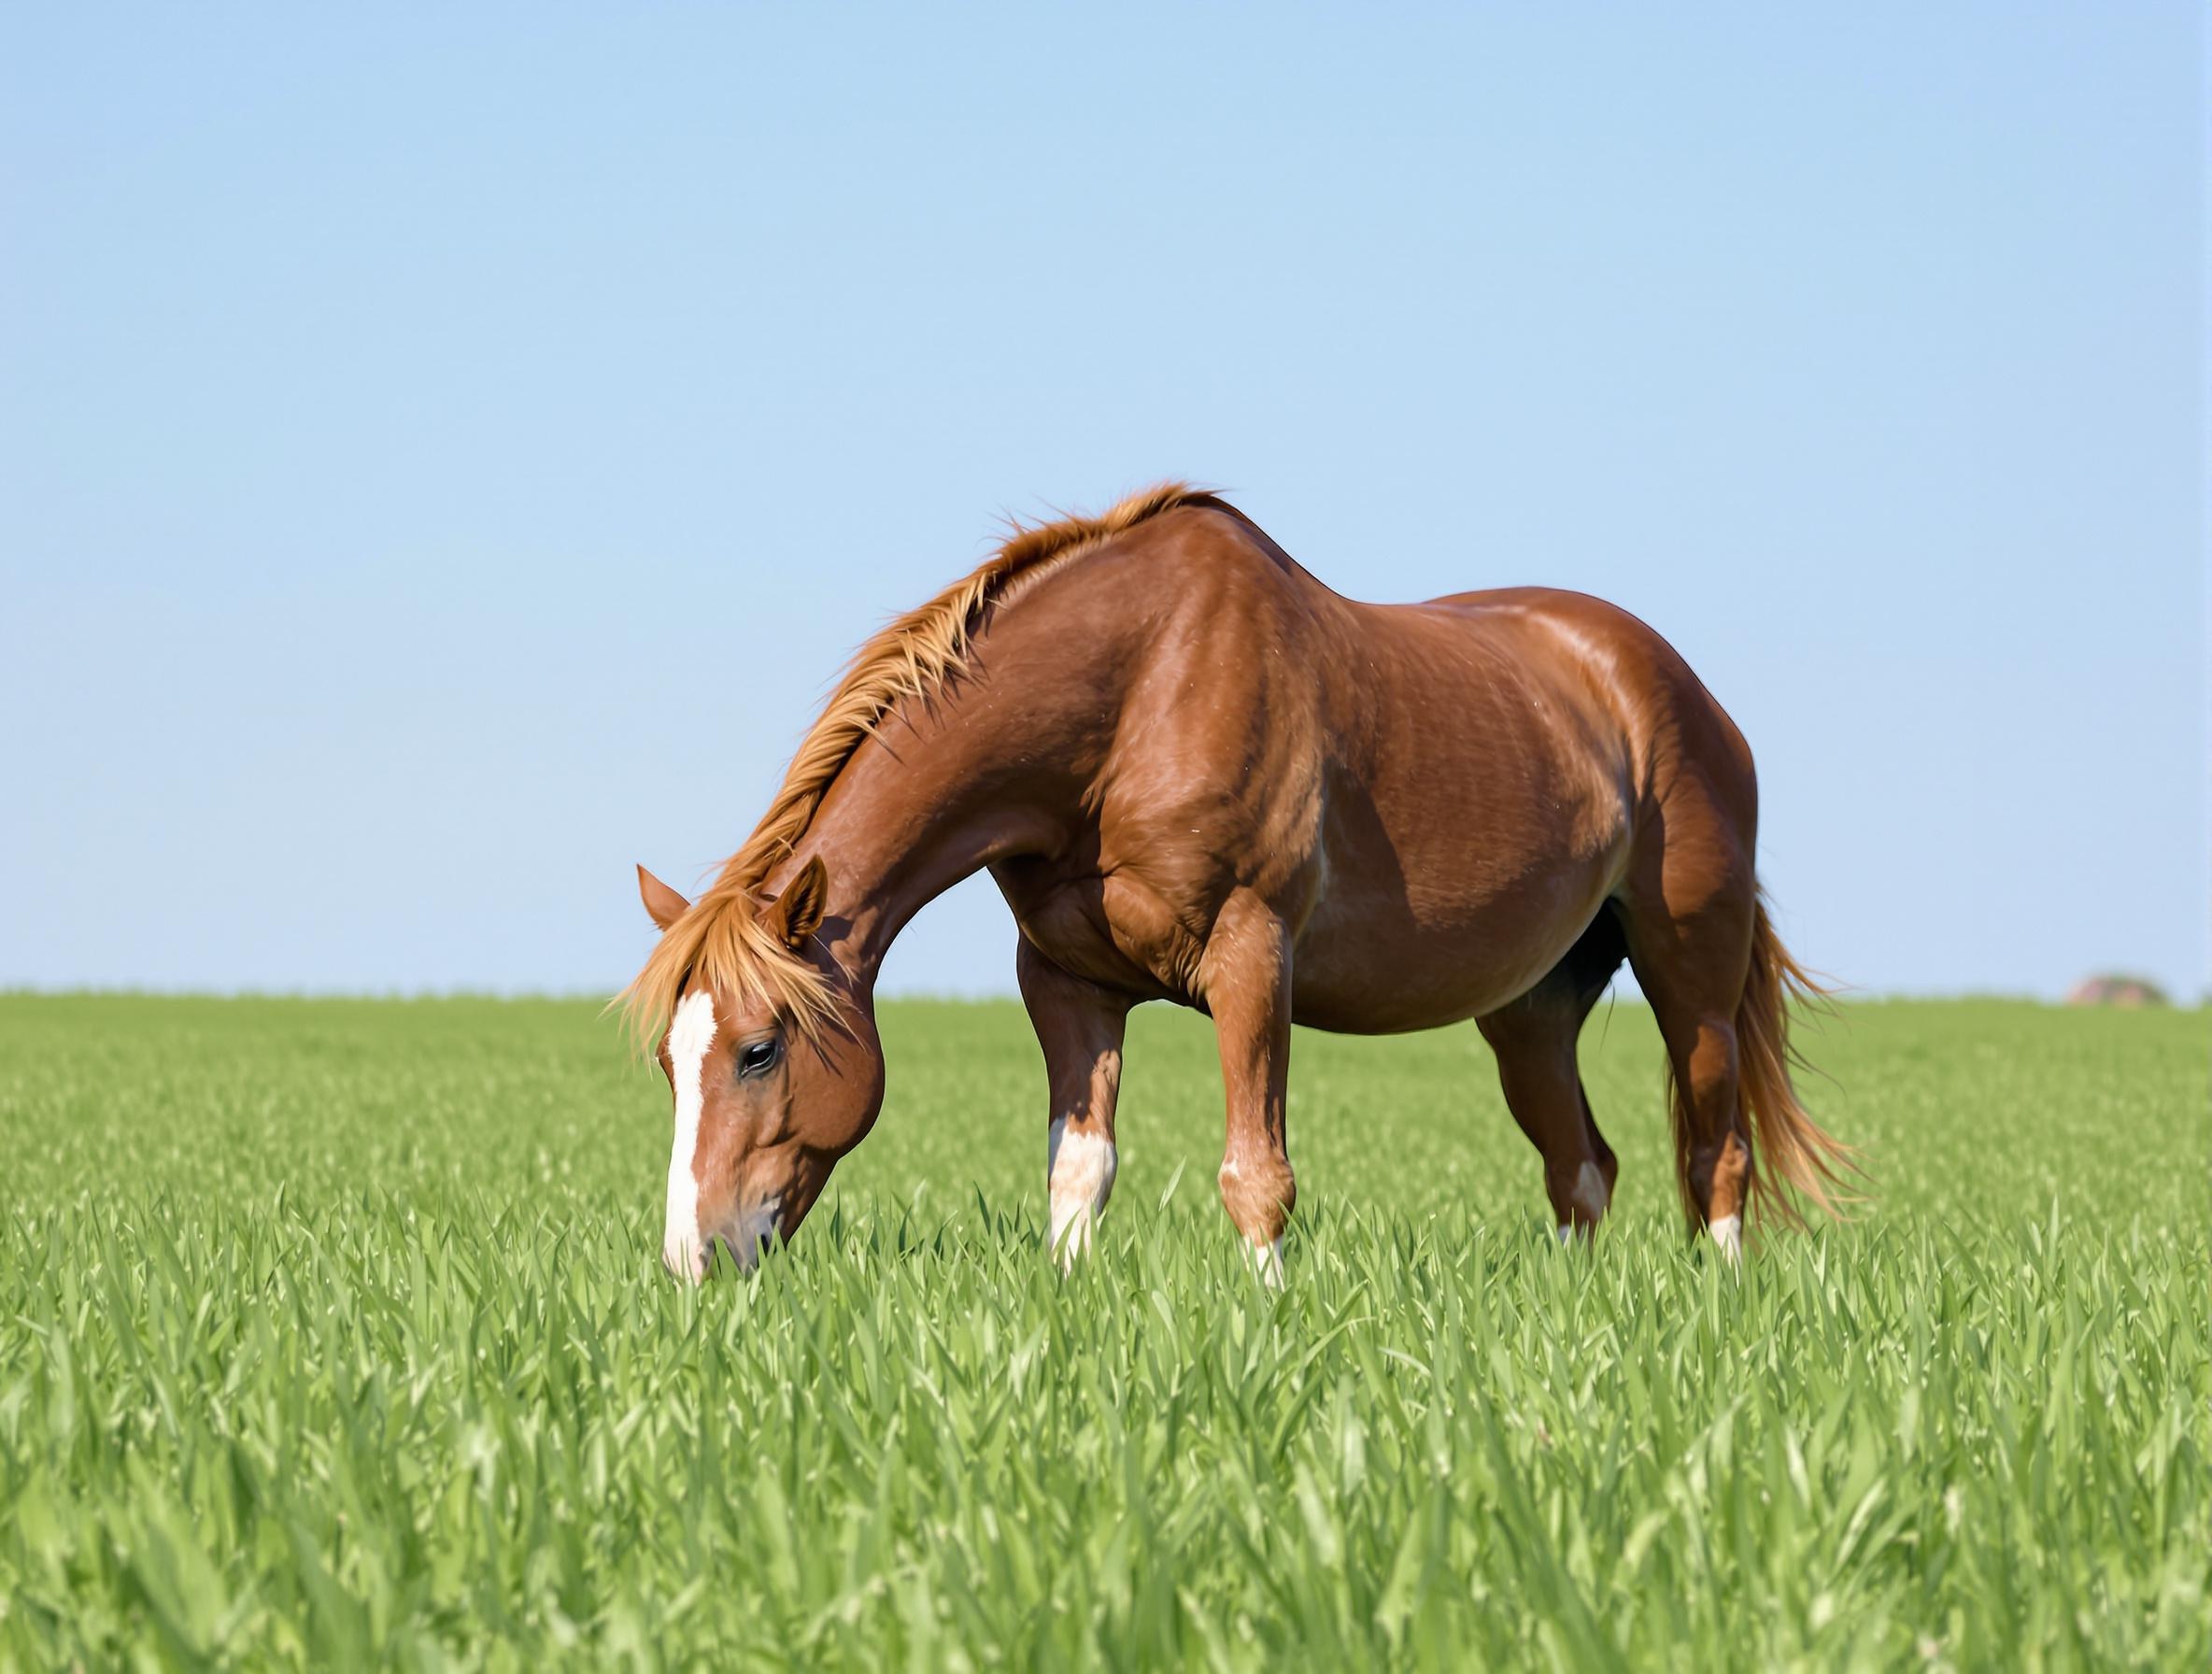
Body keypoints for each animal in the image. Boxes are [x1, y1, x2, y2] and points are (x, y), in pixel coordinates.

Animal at [623, 484, 1849, 1282]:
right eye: (667, 1061)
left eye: (760, 1048)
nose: (694, 1257)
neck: (1133, 694)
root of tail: (1676, 689)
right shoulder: (1065, 982)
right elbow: (1080, 1172)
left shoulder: (1252, 957)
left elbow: (1257, 1174)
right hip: (1531, 1007)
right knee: (1581, 1165)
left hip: (1689, 969)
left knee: (1716, 1153)